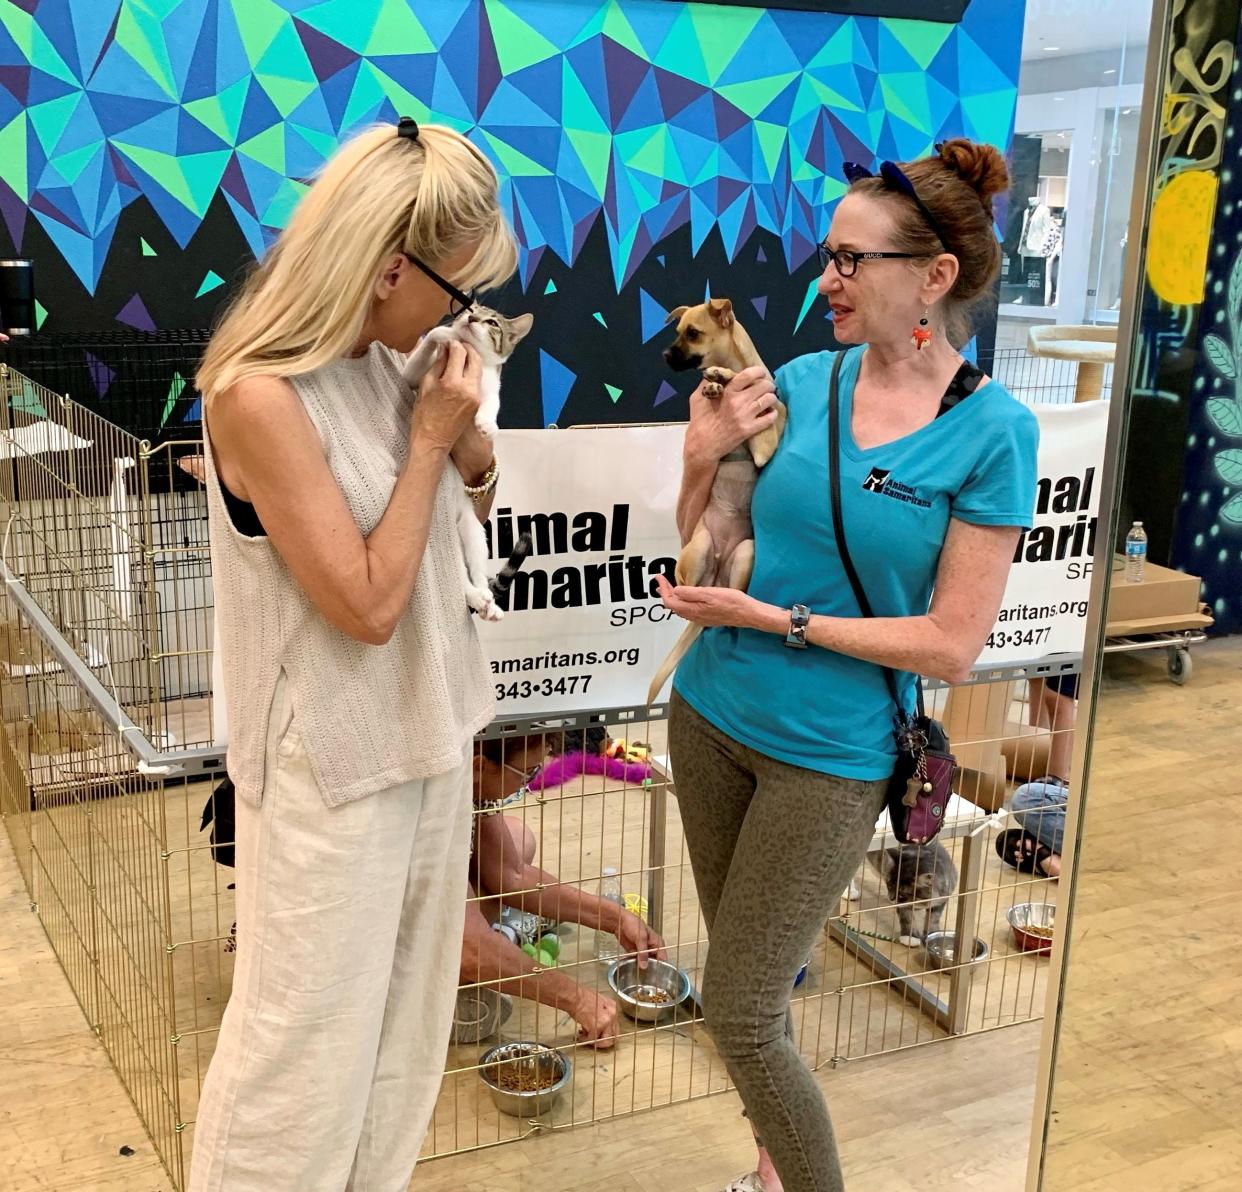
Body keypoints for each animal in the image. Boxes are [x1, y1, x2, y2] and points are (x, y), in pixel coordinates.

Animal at [399, 307, 531, 618]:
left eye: (491, 321)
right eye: (472, 311)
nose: (470, 319)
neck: (476, 361)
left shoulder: (492, 388)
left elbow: (492, 403)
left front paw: (487, 423)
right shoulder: (413, 376)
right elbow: (422, 355)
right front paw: (444, 333)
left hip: (474, 532)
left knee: (477, 570)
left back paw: (487, 600)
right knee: (459, 579)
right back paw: (477, 597)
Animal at [650, 298, 784, 705]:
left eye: (693, 333)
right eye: (677, 332)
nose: (665, 355)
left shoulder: (767, 441)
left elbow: (774, 413)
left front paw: (722, 377)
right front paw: (715, 380)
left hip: (745, 553)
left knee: (726, 603)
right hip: (701, 547)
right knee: (689, 594)